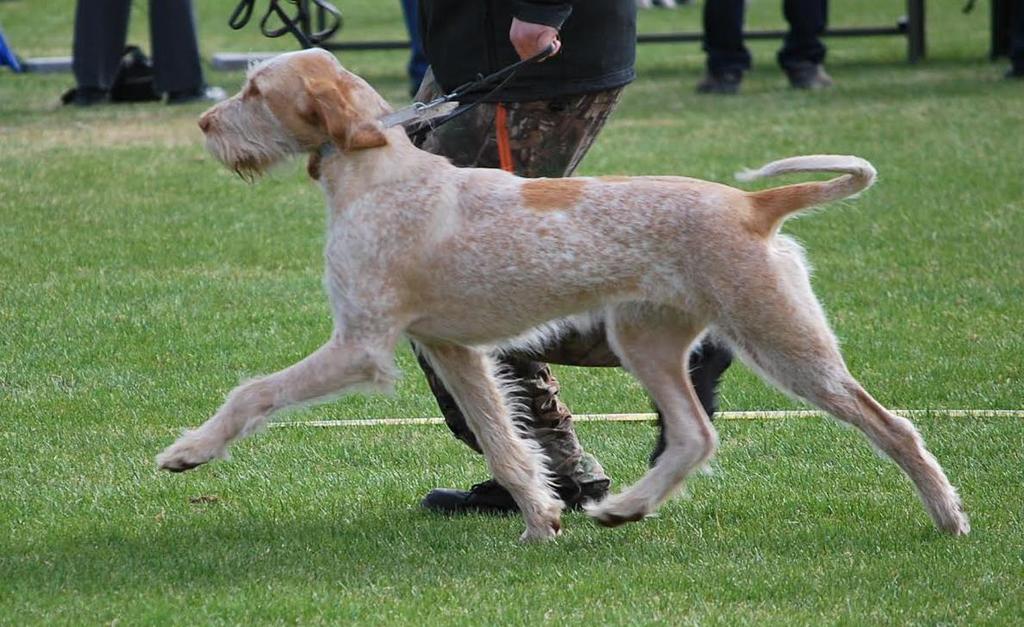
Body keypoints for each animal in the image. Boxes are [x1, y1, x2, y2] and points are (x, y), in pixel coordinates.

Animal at [155, 48, 970, 540]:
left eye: (256, 90)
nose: (202, 121)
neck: (378, 170)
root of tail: (752, 205)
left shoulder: (360, 346)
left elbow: (253, 392)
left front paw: (190, 450)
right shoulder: (453, 349)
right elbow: (506, 442)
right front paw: (541, 519)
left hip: (784, 341)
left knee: (893, 424)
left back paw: (948, 514)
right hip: (646, 340)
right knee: (695, 433)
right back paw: (625, 506)